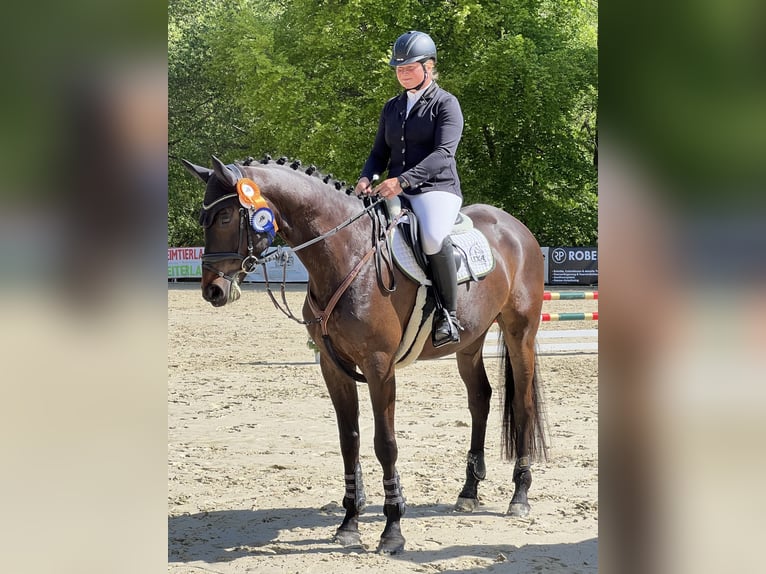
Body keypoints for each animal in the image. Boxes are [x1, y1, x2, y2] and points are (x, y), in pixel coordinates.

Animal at [183, 155, 548, 556]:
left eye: (225, 217)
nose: (212, 290)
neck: (346, 253)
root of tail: (515, 227)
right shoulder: (333, 367)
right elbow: (350, 440)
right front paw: (349, 523)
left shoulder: (379, 366)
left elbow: (384, 444)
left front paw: (392, 529)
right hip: (469, 342)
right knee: (480, 399)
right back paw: (468, 492)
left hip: (520, 333)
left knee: (523, 403)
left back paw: (520, 495)